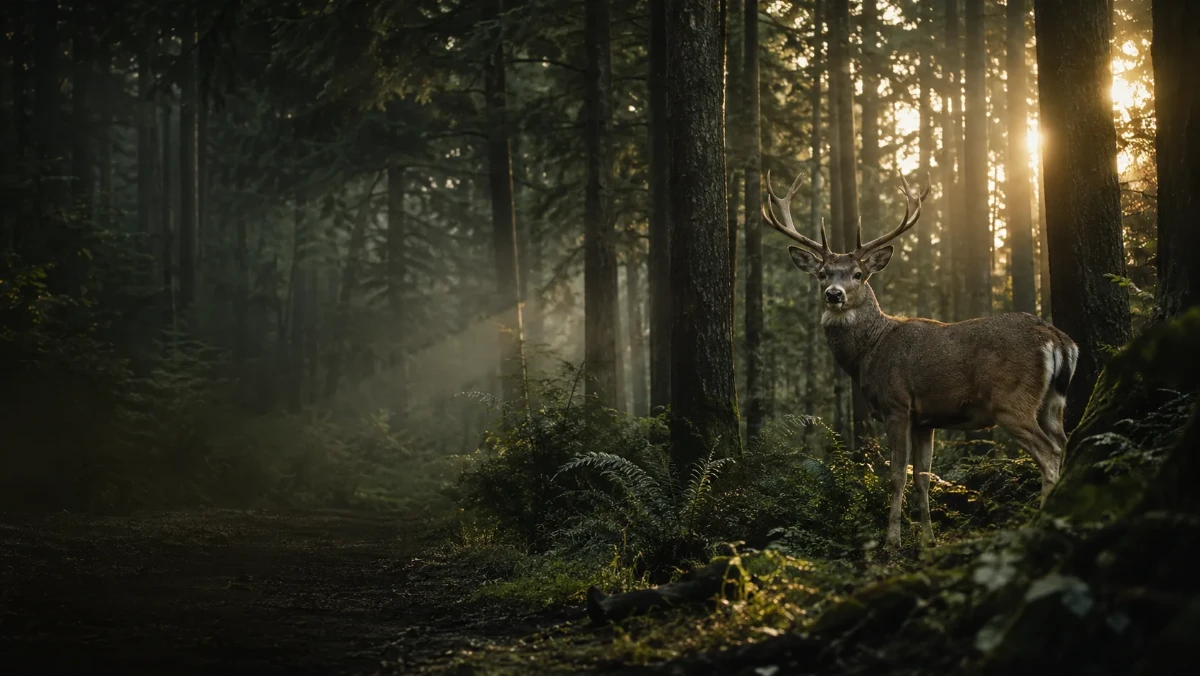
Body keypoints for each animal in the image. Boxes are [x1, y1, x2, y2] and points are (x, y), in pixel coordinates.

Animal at [763, 171, 1078, 548]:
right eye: (822, 273)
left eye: (858, 274)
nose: (833, 295)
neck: (870, 351)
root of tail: (1057, 339)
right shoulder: (926, 420)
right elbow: (923, 477)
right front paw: (928, 540)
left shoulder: (896, 404)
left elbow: (897, 475)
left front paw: (892, 540)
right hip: (1052, 401)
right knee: (1064, 442)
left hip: (1011, 400)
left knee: (1049, 454)